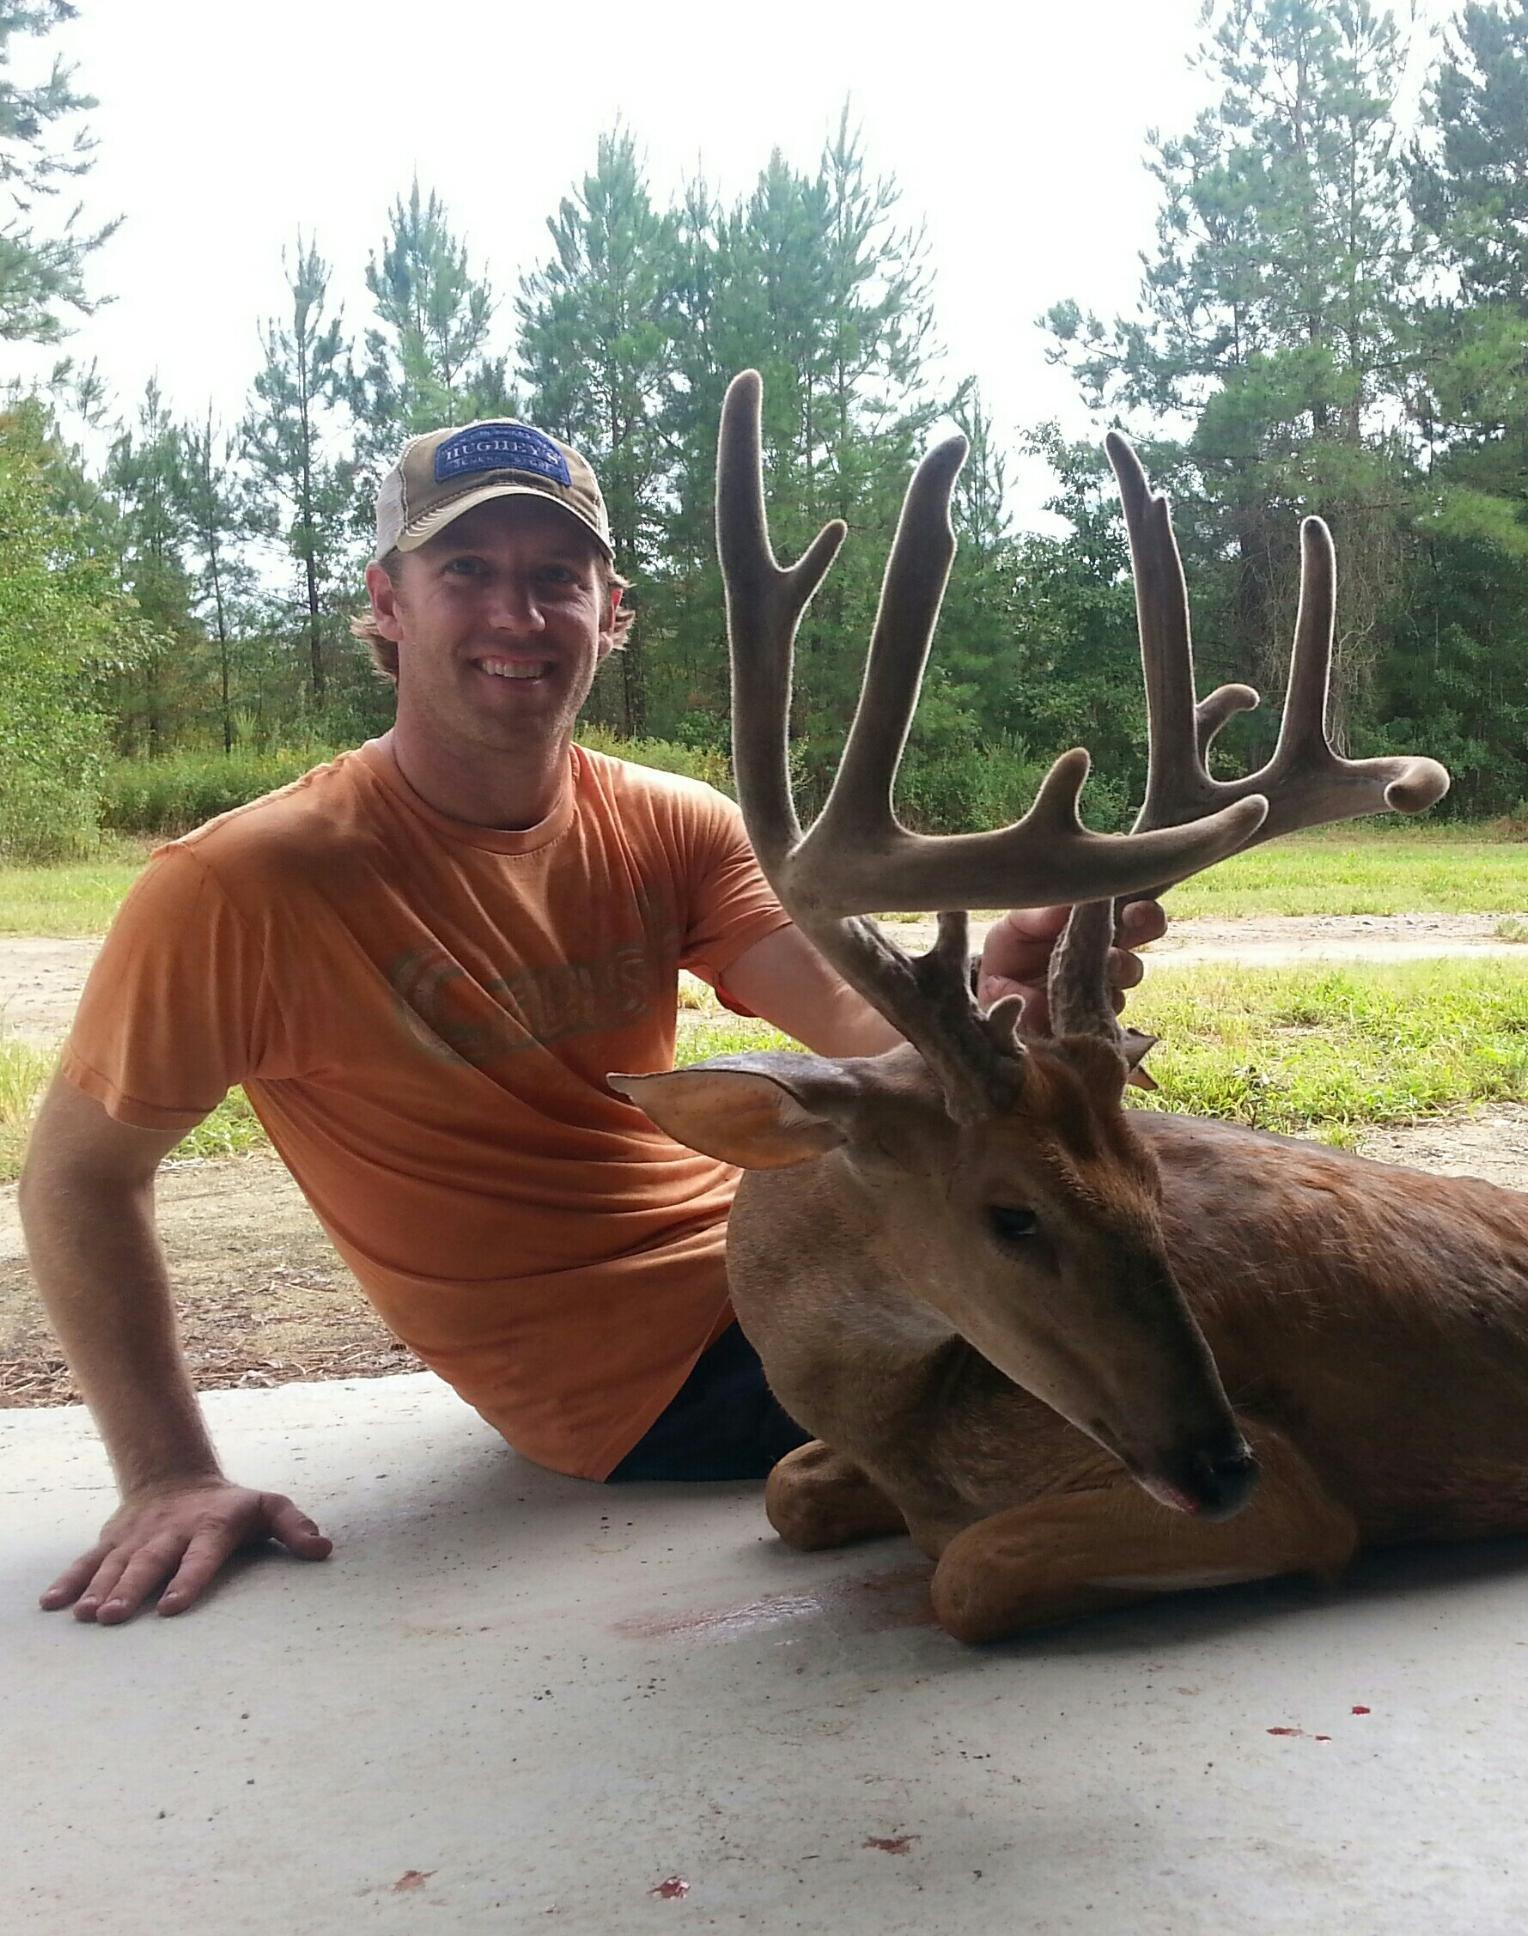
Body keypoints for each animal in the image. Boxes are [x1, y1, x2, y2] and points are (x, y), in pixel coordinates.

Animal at [611, 370, 1528, 1647]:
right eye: (1013, 1215)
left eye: (1154, 1186)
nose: (1219, 1464)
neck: (896, 1427)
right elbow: (789, 1489)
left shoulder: (1301, 1495)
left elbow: (967, 1571)